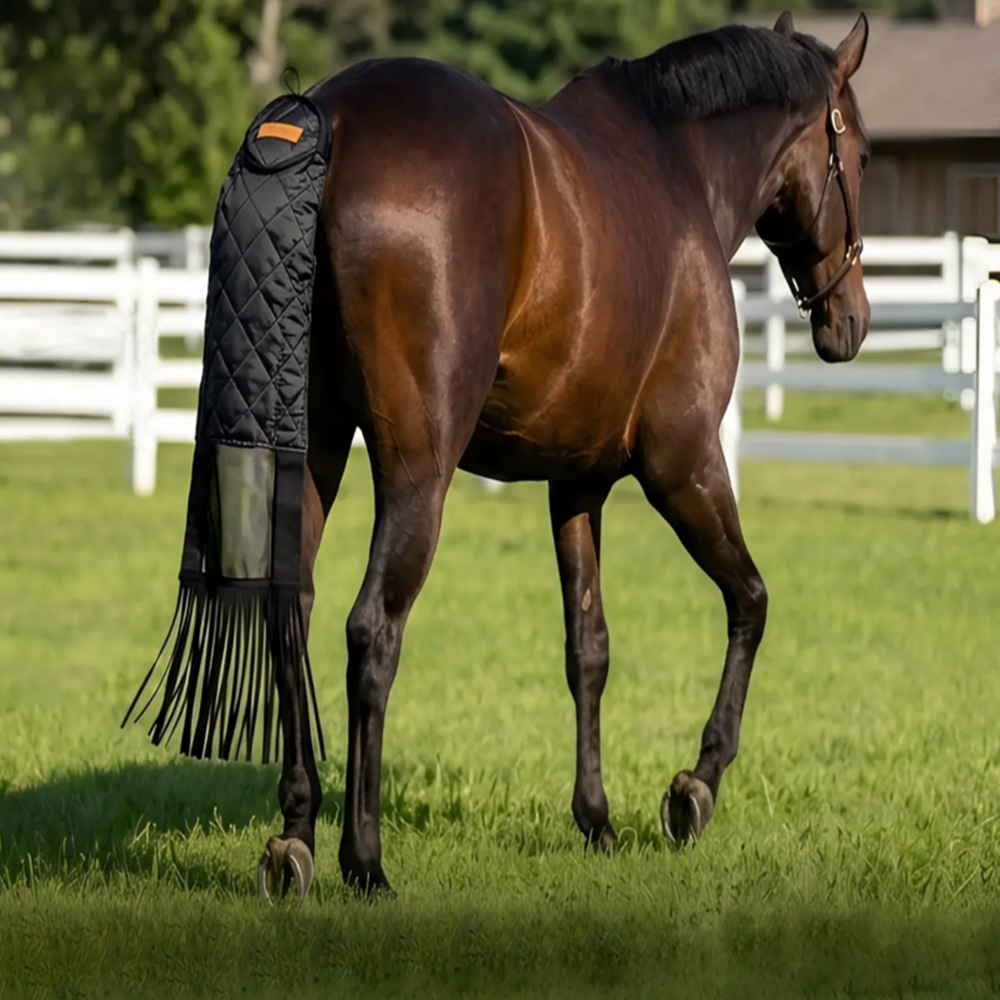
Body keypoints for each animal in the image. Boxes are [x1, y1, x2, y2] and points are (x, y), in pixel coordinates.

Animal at [128, 11, 871, 899]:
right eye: (862, 153)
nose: (849, 321)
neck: (680, 169)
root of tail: (323, 120)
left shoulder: (577, 482)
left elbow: (588, 648)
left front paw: (597, 819)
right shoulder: (682, 462)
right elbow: (751, 600)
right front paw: (694, 789)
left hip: (313, 450)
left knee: (290, 611)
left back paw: (296, 839)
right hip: (419, 470)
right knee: (371, 632)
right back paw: (364, 860)